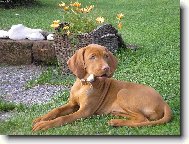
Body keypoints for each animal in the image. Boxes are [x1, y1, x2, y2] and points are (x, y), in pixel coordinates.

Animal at [32, 43, 171, 130]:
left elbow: (64, 118)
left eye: (106, 56)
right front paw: (41, 118)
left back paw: (116, 122)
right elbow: (56, 110)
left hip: (122, 93)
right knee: (138, 118)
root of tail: (163, 102)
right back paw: (117, 117)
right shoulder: (72, 104)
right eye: (92, 57)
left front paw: (45, 125)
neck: (84, 84)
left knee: (144, 120)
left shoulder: (85, 111)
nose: (106, 68)